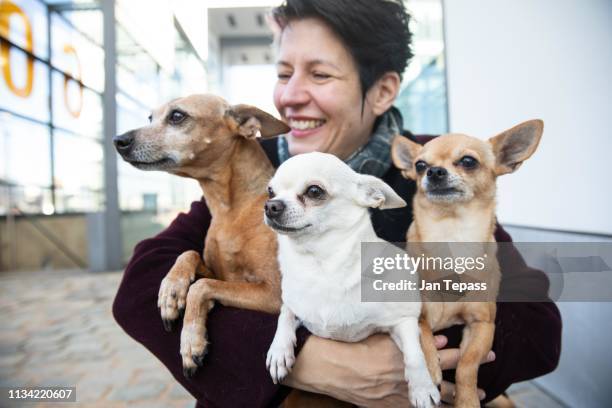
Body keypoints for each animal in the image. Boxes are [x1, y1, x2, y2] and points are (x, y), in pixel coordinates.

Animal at [114, 93, 290, 376]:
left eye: (177, 116)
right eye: (150, 117)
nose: (118, 140)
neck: (230, 210)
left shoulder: (273, 293)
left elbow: (201, 286)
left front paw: (190, 339)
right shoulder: (221, 274)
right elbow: (190, 254)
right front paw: (172, 289)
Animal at [392, 119, 540, 406]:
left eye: (468, 161)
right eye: (419, 165)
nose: (434, 171)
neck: (452, 237)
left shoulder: (482, 325)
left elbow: (468, 364)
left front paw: (467, 399)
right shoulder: (416, 314)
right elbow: (423, 334)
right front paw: (430, 369)